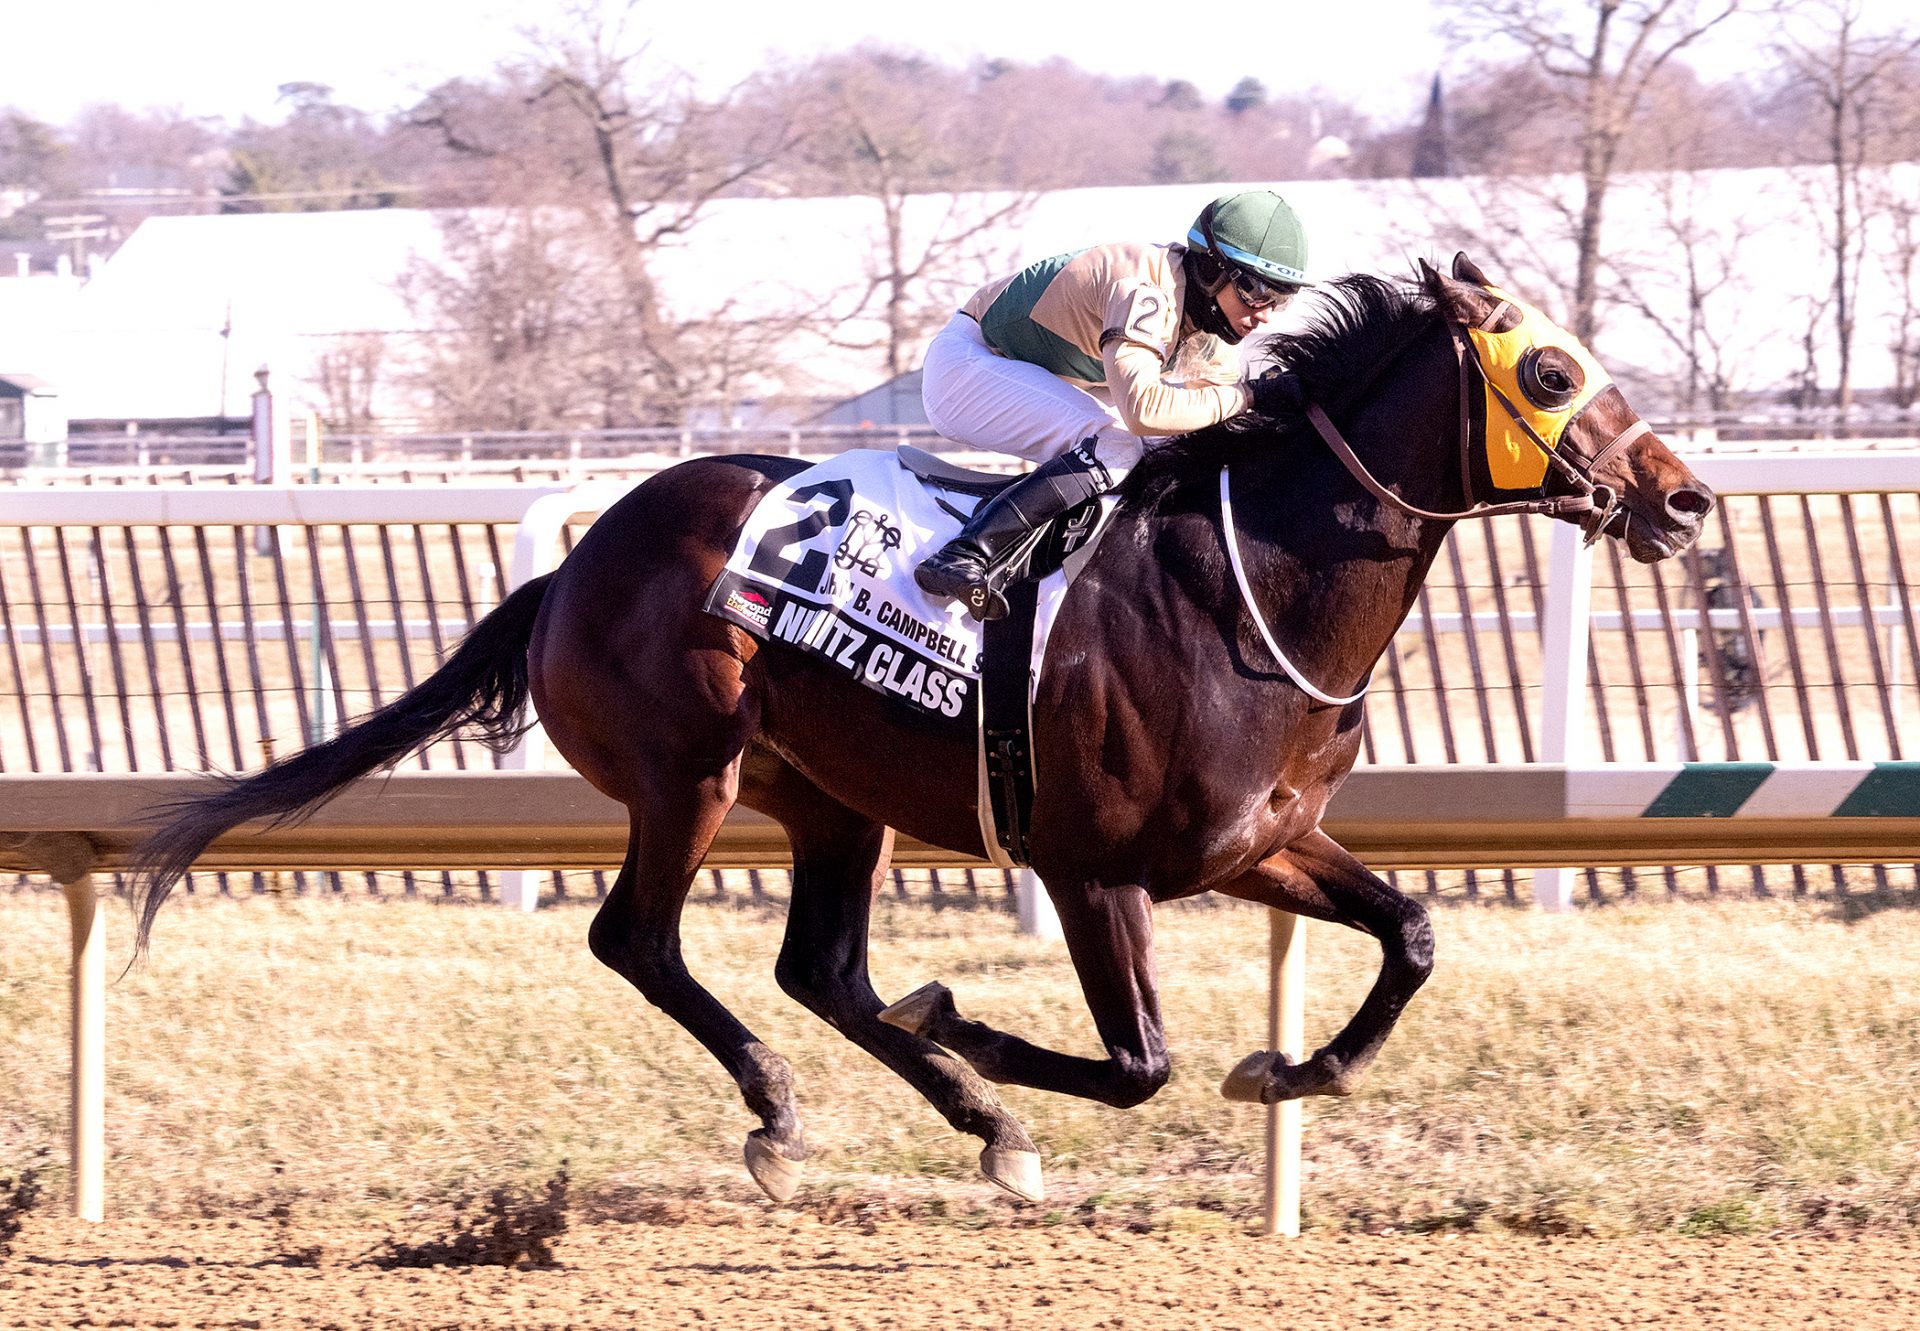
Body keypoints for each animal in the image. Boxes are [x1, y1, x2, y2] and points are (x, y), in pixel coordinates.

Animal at [135, 251, 1712, 1206]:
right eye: (1552, 373)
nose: (1685, 498)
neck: (1249, 581)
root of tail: (575, 565)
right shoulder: (1092, 866)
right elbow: (1135, 1061)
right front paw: (974, 1023)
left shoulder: (1257, 843)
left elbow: (1414, 933)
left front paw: (1289, 1068)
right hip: (688, 772)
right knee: (640, 940)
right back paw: (794, 1112)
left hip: (838, 798)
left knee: (820, 968)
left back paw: (971, 1119)